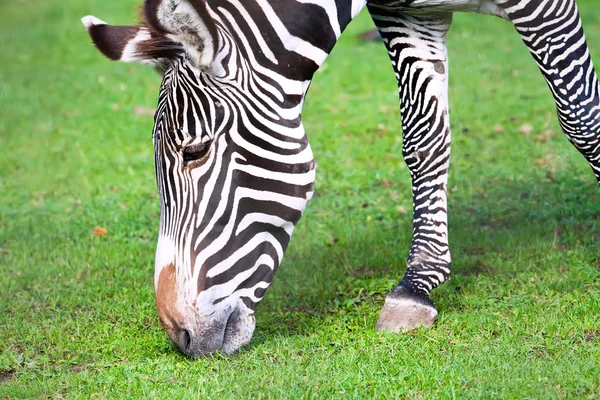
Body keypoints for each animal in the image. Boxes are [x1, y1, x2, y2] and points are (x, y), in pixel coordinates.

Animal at [82, 0, 600, 356]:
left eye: (196, 152)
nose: (181, 337)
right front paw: (416, 285)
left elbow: (582, 117)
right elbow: (424, 137)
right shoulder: (406, 13)